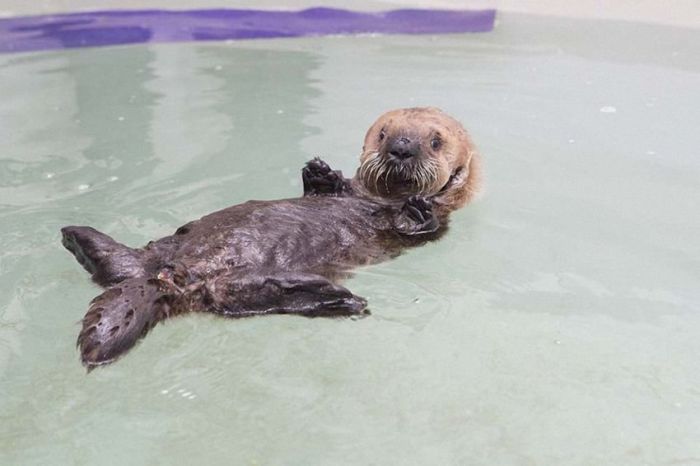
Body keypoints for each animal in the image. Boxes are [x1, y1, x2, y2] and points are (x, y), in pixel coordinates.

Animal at [60, 107, 482, 370]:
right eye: (384, 133)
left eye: (435, 142)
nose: (402, 147)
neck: (376, 198)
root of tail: (172, 276)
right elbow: (326, 189)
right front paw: (319, 170)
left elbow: (421, 228)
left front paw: (418, 209)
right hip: (169, 245)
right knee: (132, 260)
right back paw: (79, 240)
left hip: (229, 287)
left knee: (246, 292)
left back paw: (334, 296)